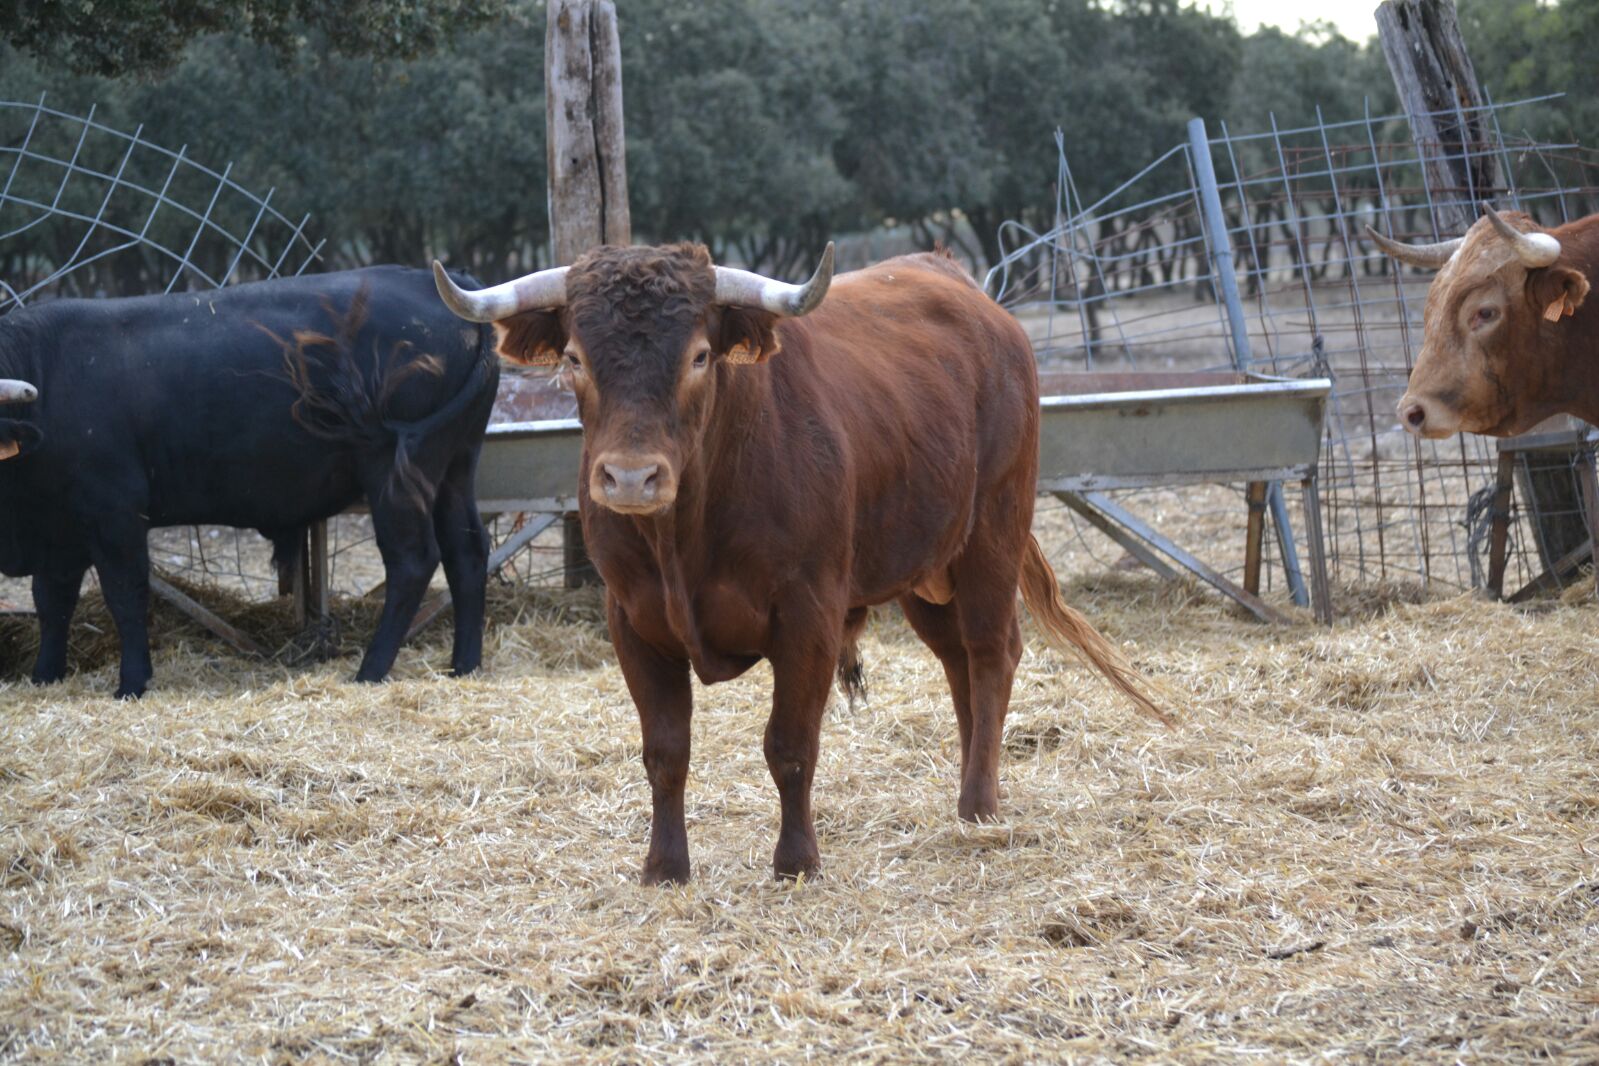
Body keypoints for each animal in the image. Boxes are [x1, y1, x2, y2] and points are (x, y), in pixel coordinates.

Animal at [0, 266, 498, 700]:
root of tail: (437, 282)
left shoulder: (115, 511)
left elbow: (124, 594)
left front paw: (132, 683)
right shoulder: (58, 526)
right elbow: (52, 600)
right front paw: (44, 675)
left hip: (396, 470)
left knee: (412, 560)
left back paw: (371, 670)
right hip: (456, 462)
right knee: (467, 550)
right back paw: (464, 666)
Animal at [438, 244, 1164, 882]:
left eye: (699, 355)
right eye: (574, 358)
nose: (630, 478)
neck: (685, 533)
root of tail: (966, 290)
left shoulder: (809, 616)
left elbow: (789, 745)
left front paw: (796, 862)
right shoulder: (633, 622)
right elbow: (666, 751)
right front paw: (665, 868)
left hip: (992, 532)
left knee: (991, 653)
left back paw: (980, 805)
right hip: (924, 570)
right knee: (957, 661)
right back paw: (968, 785)